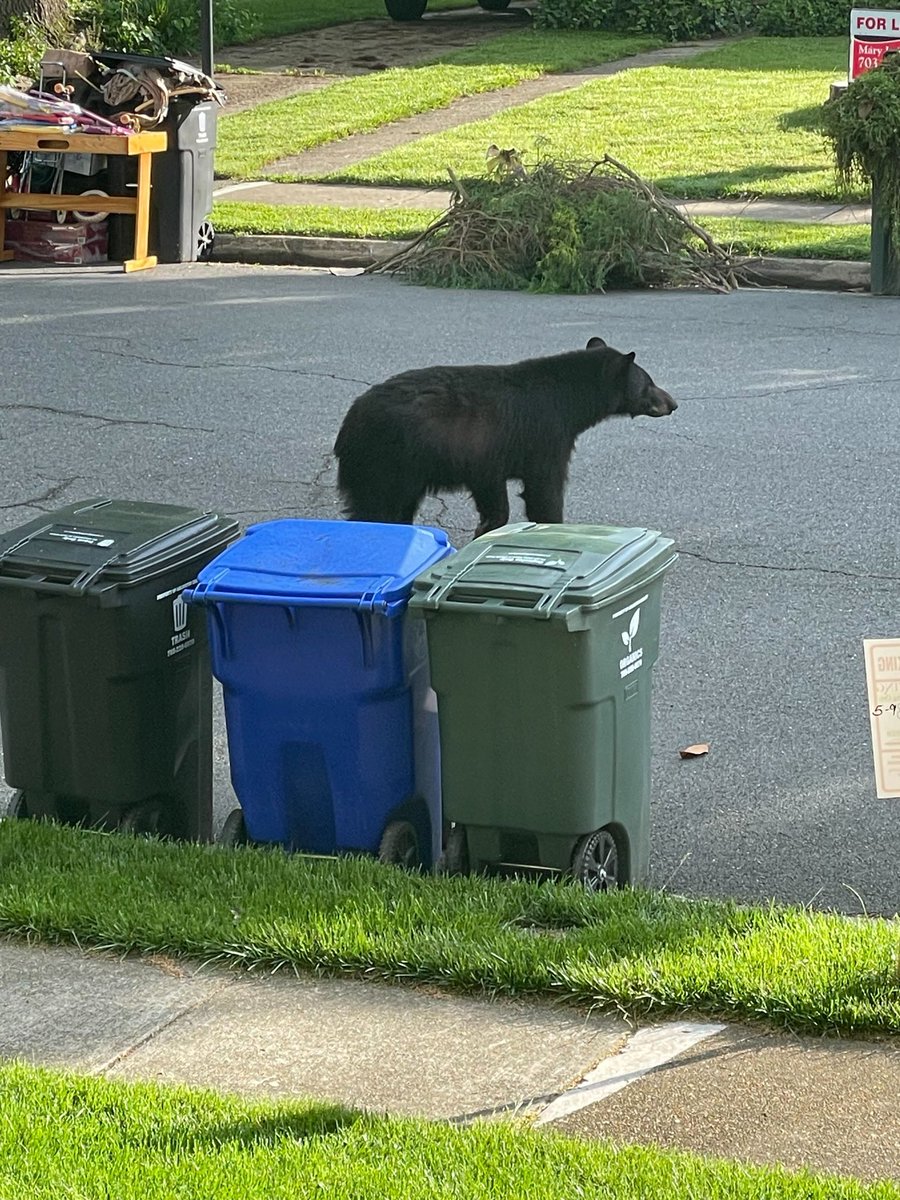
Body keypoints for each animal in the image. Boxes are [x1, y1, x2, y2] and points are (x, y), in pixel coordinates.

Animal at [336, 336, 681, 537]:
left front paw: (486, 528)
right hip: (388, 461)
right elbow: (545, 489)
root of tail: (349, 422)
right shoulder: (545, 436)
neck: (568, 399)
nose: (673, 403)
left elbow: (494, 498)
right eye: (649, 383)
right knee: (375, 507)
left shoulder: (486, 457)